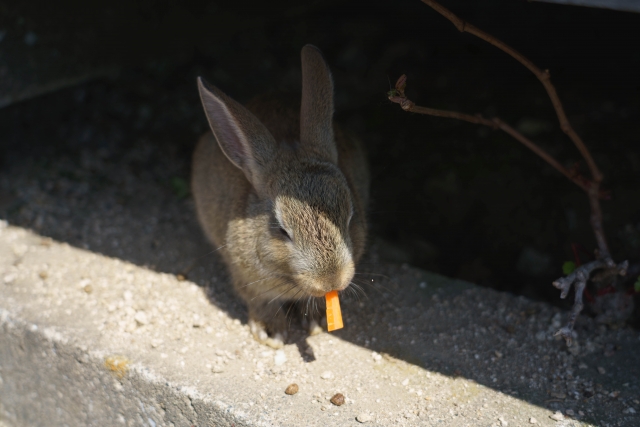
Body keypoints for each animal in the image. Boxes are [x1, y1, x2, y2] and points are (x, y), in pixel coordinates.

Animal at [192, 45, 368, 350]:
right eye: (282, 231)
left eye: (350, 217)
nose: (331, 281)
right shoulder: (246, 277)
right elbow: (260, 302)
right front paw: (271, 333)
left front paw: (317, 321)